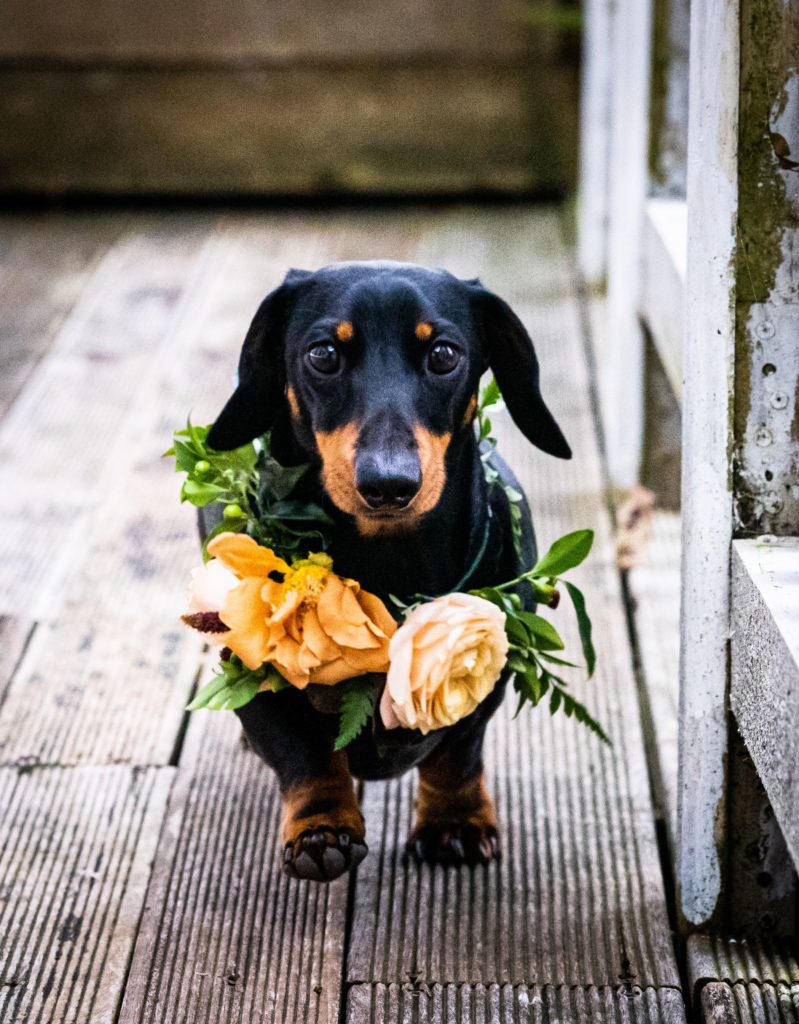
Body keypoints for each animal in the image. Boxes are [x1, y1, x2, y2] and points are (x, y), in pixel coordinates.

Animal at [202, 262, 569, 880]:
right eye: (323, 354)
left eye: (443, 354)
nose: (389, 484)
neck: (389, 564)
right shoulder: (253, 674)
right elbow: (303, 751)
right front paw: (322, 827)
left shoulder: (487, 674)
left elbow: (457, 753)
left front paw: (454, 823)